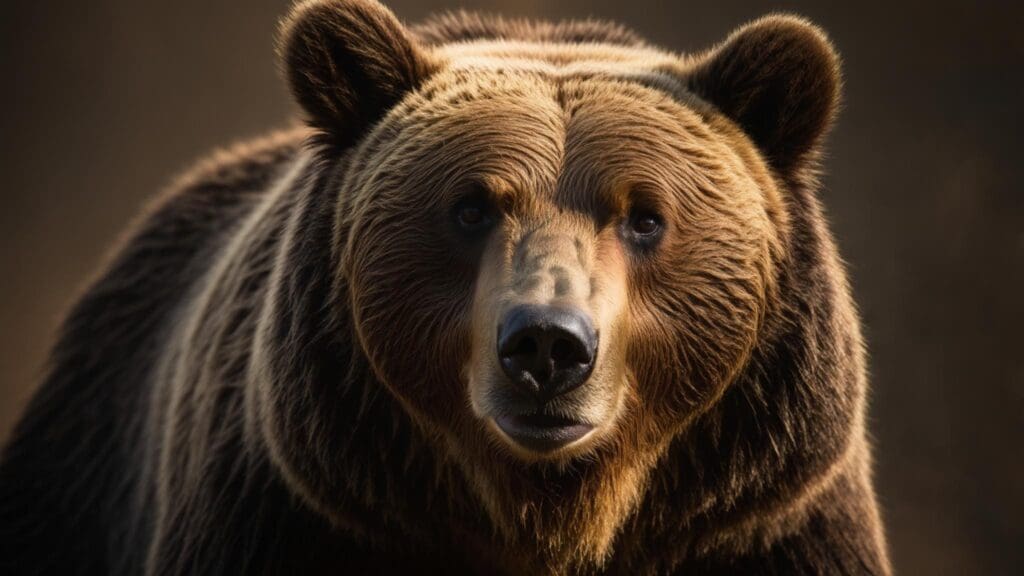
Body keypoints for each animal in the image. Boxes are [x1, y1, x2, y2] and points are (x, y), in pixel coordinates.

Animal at [0, 0, 890, 574]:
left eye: (644, 217)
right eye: (470, 207)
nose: (546, 345)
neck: (550, 515)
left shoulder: (763, 525)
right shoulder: (292, 514)